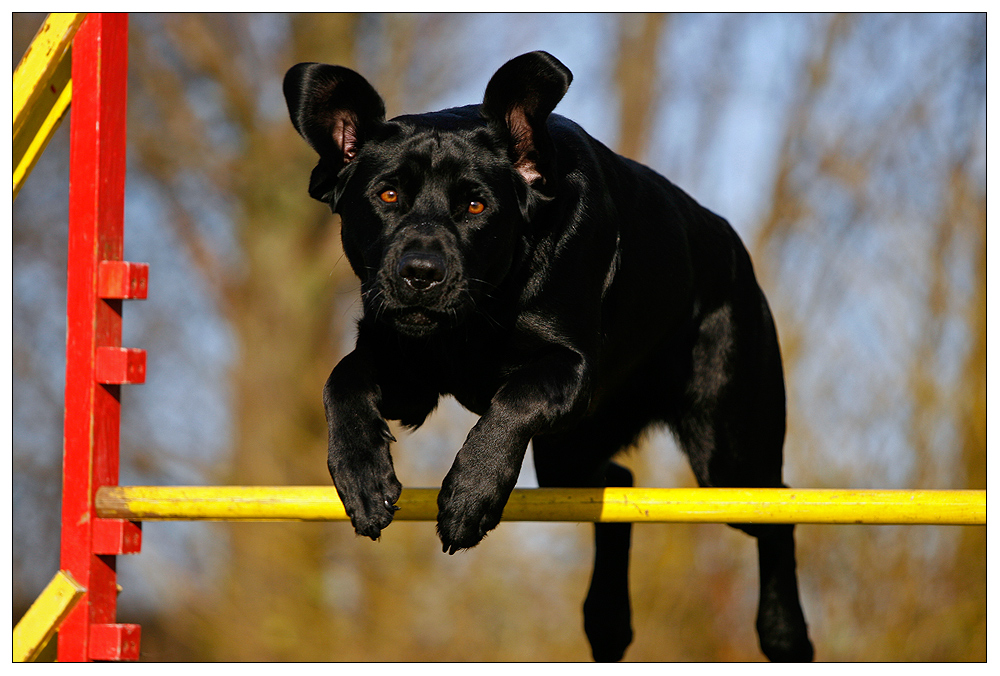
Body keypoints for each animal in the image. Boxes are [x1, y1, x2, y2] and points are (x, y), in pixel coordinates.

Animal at [284, 51, 812, 660]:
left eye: (475, 204)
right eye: (388, 195)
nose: (421, 273)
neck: (478, 316)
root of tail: (734, 251)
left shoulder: (570, 367)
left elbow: (512, 400)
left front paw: (469, 498)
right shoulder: (407, 376)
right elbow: (340, 380)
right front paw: (363, 479)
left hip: (728, 457)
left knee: (779, 511)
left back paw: (784, 631)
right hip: (573, 457)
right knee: (621, 484)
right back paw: (607, 620)